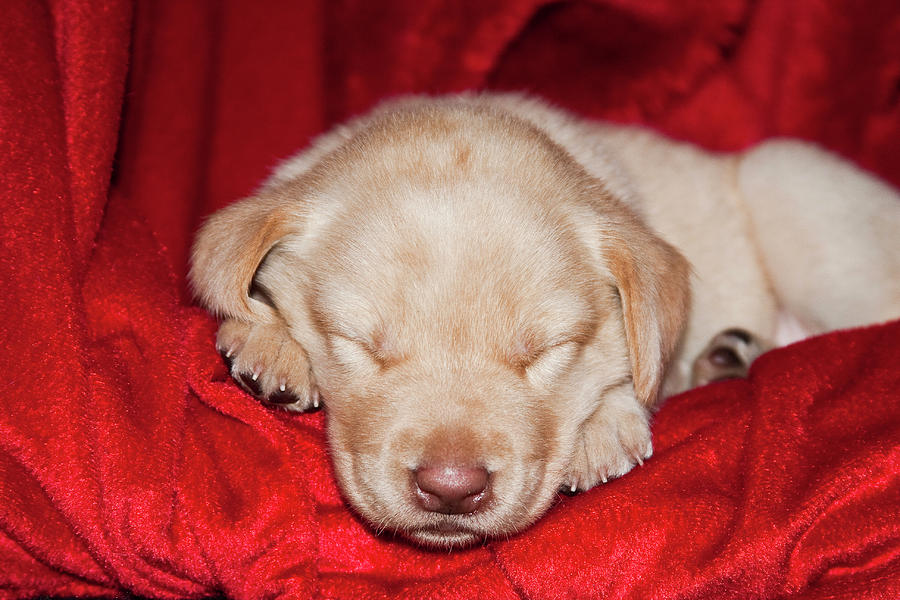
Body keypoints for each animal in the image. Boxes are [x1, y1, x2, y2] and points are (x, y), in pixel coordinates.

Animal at [186, 92, 896, 548]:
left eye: (546, 351)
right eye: (359, 344)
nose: (451, 489)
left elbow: (633, 362)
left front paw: (605, 423)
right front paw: (270, 343)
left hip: (794, 191)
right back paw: (727, 356)